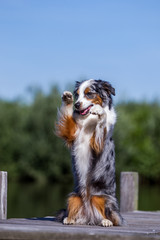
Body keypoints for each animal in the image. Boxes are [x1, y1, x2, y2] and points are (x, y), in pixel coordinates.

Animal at [55, 79, 123, 227]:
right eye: (77, 94)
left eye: (89, 93)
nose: (77, 104)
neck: (88, 119)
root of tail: (89, 216)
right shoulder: (72, 134)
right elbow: (67, 117)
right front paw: (67, 99)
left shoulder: (98, 144)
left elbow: (102, 122)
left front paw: (100, 112)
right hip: (74, 196)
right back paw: (70, 218)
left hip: (102, 197)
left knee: (107, 215)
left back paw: (105, 221)